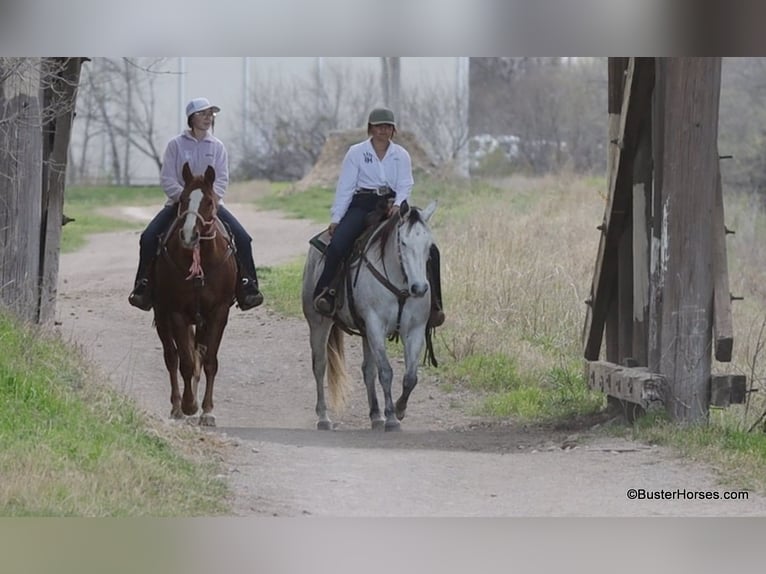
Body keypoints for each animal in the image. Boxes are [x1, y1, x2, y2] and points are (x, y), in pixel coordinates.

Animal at [151, 162, 238, 426]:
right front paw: (189, 405)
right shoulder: (177, 313)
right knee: (172, 357)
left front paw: (207, 411)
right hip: (162, 315)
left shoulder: (218, 313)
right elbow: (186, 362)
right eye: (183, 199)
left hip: (200, 322)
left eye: (209, 201)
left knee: (197, 355)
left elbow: (208, 361)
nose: (189, 235)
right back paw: (177, 407)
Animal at [301, 200, 439, 431]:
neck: (400, 285)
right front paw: (392, 418)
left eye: (429, 244)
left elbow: (410, 377)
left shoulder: (415, 330)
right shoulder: (375, 325)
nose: (419, 288)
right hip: (319, 323)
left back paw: (375, 415)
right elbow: (386, 372)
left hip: (365, 332)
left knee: (367, 370)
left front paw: (399, 410)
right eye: (403, 243)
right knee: (320, 366)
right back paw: (323, 418)